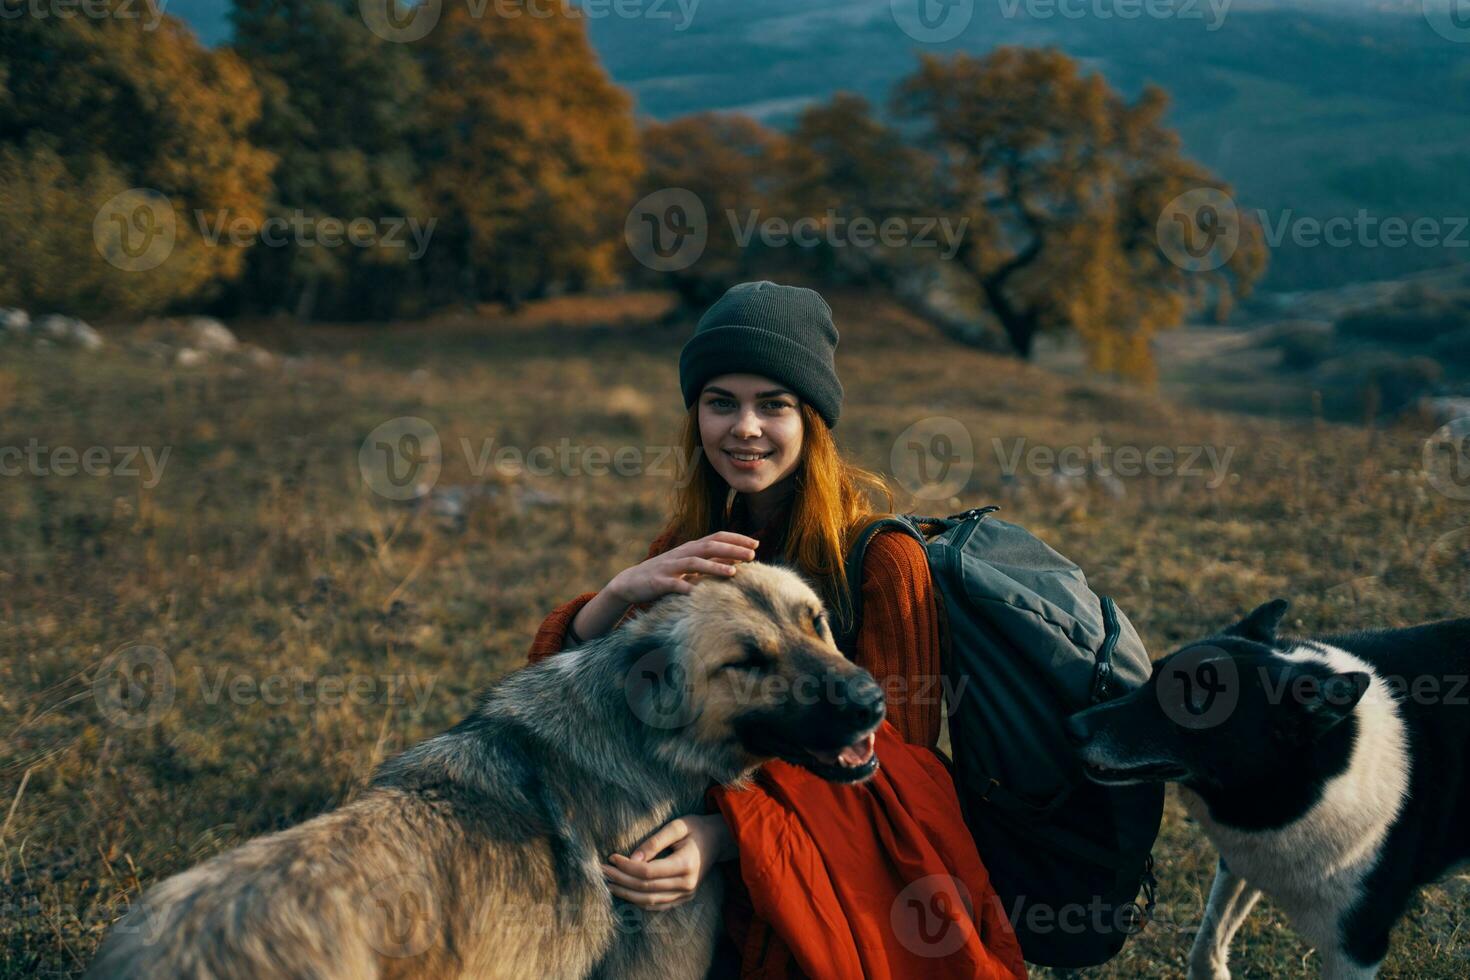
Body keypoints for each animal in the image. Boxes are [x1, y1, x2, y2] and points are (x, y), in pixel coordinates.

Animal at [1070, 602, 1470, 975]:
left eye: (1193, 705)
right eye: (1153, 676)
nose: (1073, 725)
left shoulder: (1356, 947)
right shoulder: (1245, 861)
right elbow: (1209, 938)